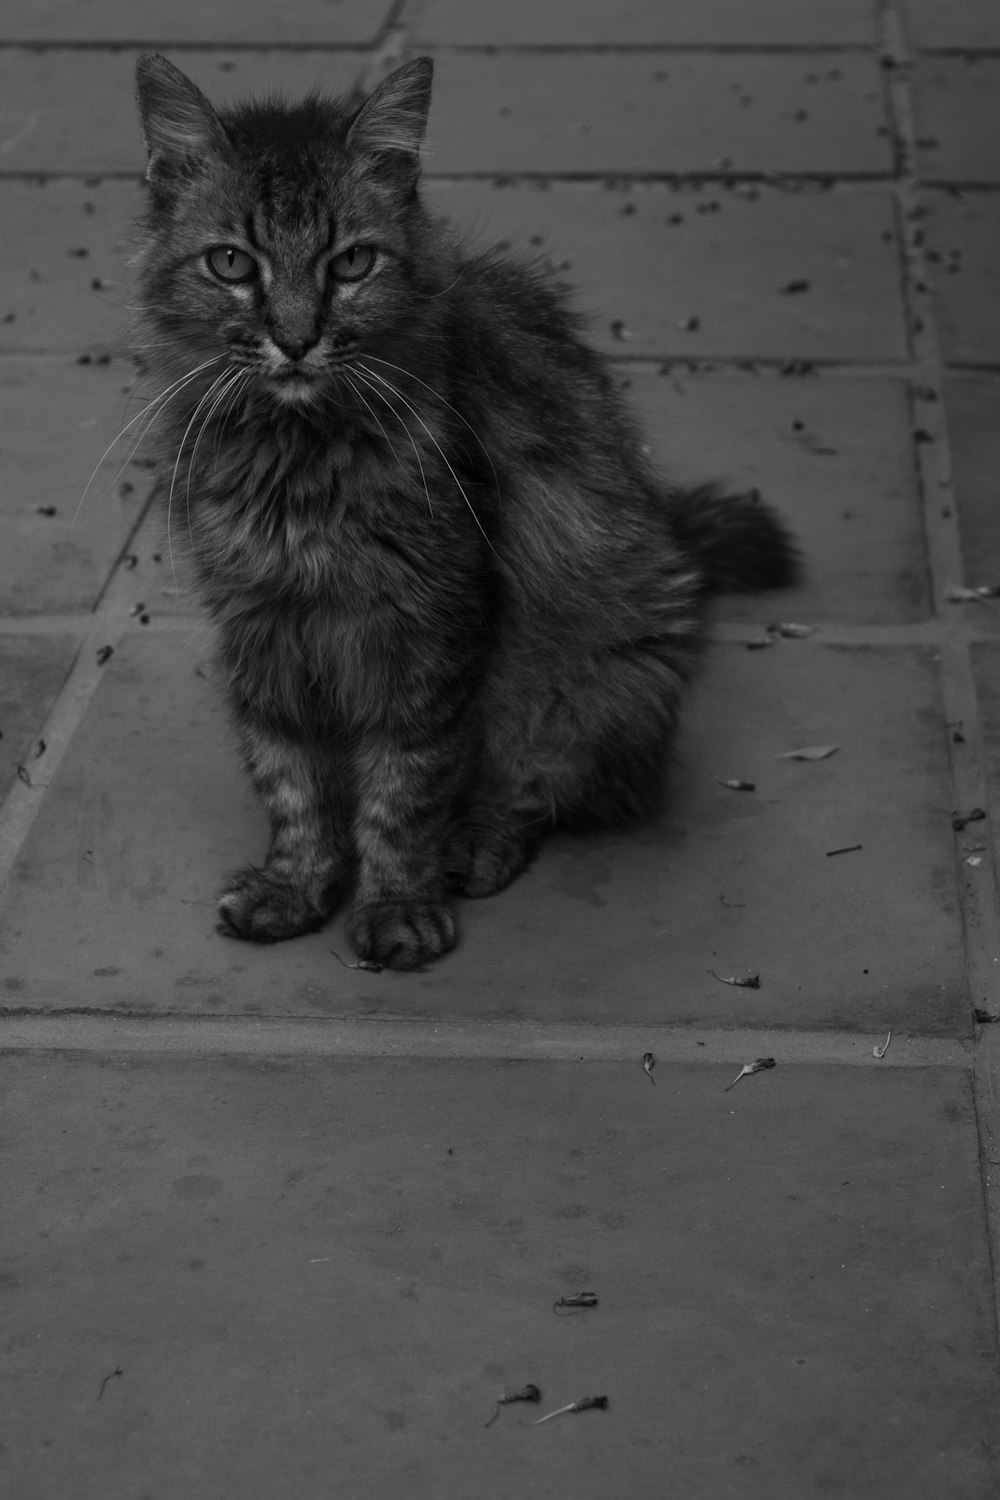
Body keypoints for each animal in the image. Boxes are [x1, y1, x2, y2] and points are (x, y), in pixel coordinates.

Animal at [131, 49, 797, 972]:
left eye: (351, 264)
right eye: (231, 264)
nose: (296, 339)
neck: (296, 461)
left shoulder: (430, 621)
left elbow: (404, 784)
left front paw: (398, 904)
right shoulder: (259, 623)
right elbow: (291, 776)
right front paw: (297, 885)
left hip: (597, 674)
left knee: (540, 793)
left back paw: (471, 846)